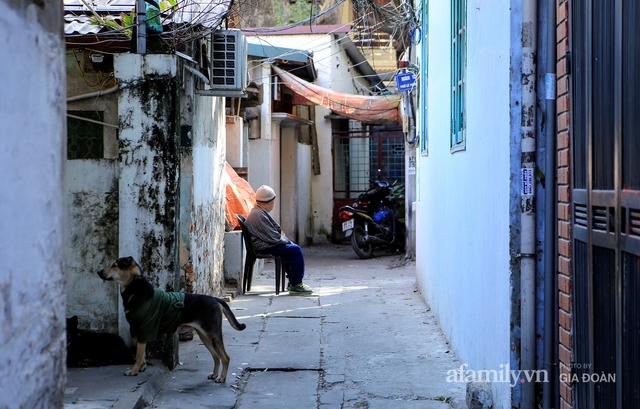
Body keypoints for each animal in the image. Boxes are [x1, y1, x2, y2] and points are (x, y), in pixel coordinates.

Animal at [99, 256, 246, 380]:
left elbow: (139, 355)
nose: (98, 271)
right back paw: (215, 374)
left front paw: (134, 371)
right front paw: (142, 368)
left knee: (225, 357)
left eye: (114, 265)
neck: (135, 287)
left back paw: (222, 378)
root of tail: (216, 299)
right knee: (216, 356)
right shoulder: (138, 331)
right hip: (204, 336)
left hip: (213, 334)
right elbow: (142, 354)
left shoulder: (143, 330)